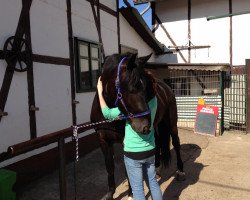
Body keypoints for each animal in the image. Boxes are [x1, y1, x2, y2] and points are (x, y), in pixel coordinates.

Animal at [91, 52, 185, 199]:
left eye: (147, 88)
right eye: (132, 88)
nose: (144, 126)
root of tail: (167, 87)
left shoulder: (124, 142)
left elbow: (126, 169)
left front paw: (131, 193)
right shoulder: (103, 140)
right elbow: (109, 166)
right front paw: (110, 193)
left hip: (171, 125)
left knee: (176, 143)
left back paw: (180, 171)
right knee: (158, 143)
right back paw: (157, 168)